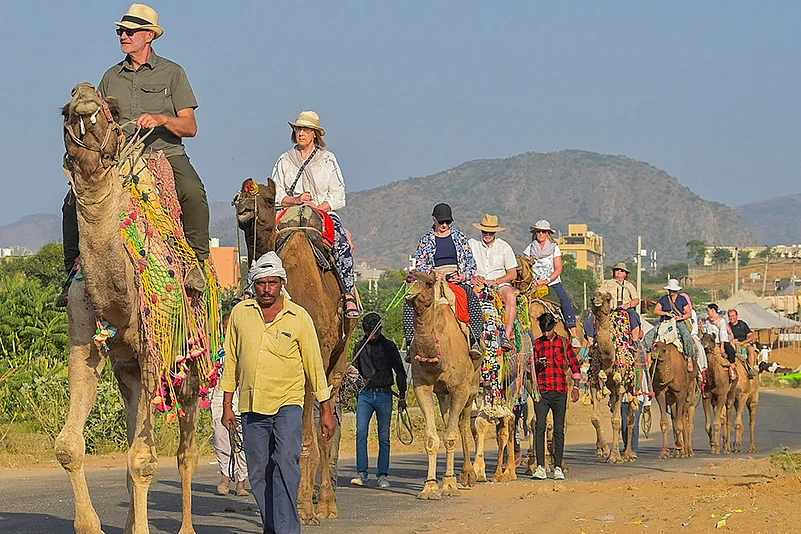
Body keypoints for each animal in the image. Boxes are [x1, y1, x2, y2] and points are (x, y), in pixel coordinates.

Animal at [57, 83, 213, 534]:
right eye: (64, 110)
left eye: (111, 109)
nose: (84, 94)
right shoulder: (85, 343)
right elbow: (69, 446)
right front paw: (90, 525)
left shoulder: (152, 351)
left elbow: (144, 461)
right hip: (127, 371)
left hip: (192, 369)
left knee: (185, 453)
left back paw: (186, 527)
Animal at [406, 271, 480, 499]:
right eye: (409, 279)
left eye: (428, 283)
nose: (410, 293)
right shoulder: (422, 386)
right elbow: (432, 438)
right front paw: (430, 487)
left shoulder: (460, 388)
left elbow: (451, 437)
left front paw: (449, 484)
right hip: (443, 393)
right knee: (450, 421)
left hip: (471, 388)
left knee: (463, 424)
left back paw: (468, 474)